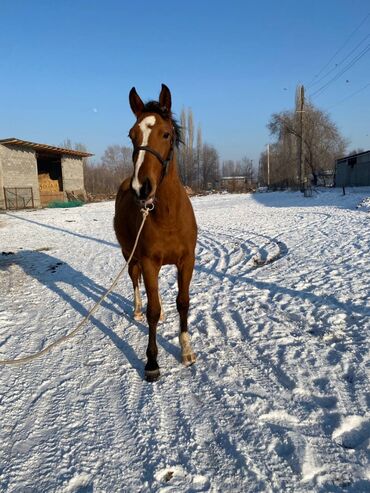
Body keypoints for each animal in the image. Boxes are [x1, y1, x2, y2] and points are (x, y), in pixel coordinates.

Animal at [114, 83, 198, 380]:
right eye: (132, 135)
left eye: (166, 134)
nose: (142, 188)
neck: (168, 217)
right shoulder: (148, 261)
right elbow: (152, 310)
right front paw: (151, 362)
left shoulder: (187, 261)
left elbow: (182, 302)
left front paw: (186, 351)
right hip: (130, 255)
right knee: (136, 283)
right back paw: (137, 309)